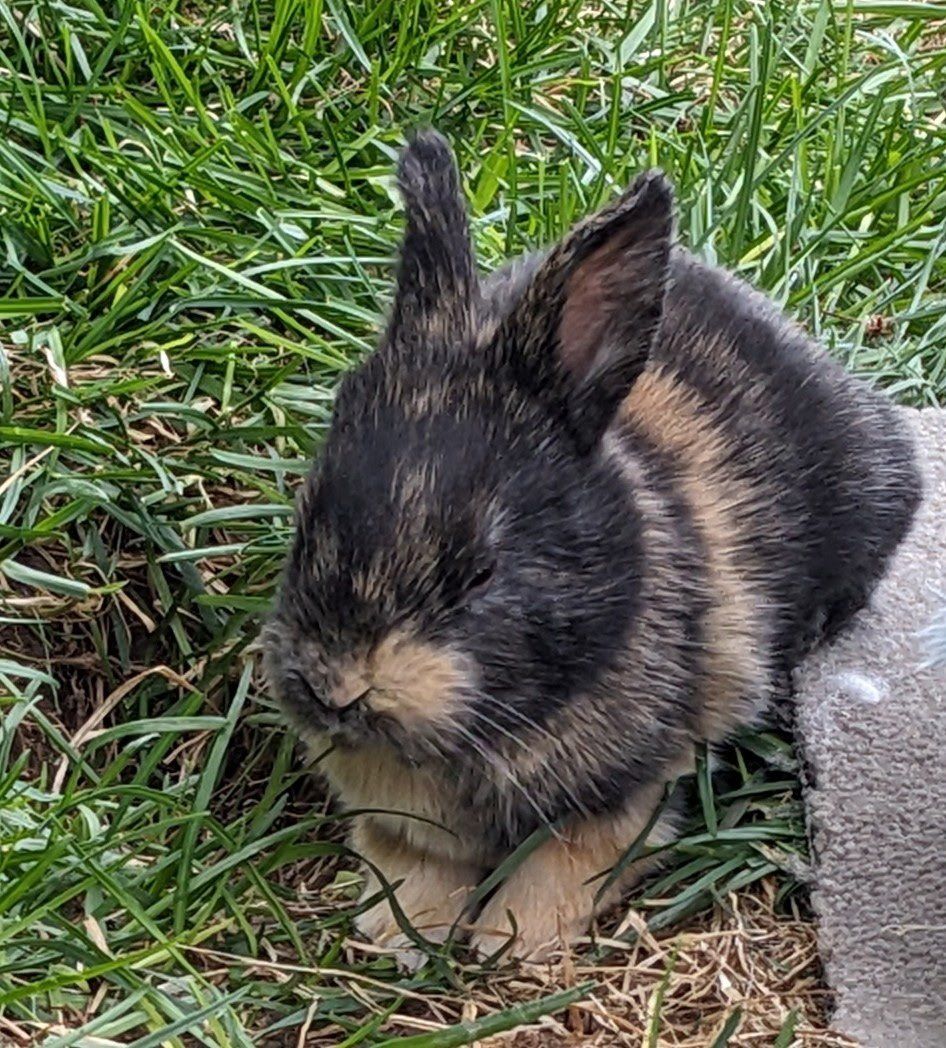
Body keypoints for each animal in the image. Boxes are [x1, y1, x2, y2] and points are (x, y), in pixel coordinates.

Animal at [262, 129, 921, 964]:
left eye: (480, 572)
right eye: (306, 519)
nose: (332, 685)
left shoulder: (635, 785)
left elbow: (573, 855)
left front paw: (509, 939)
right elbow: (409, 854)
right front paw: (403, 930)